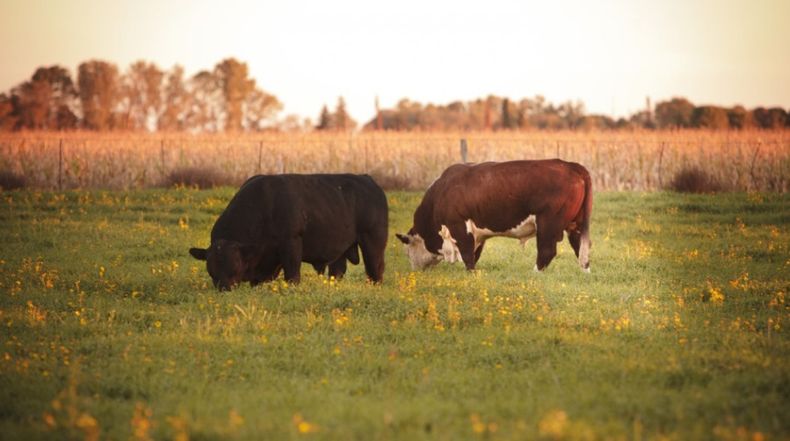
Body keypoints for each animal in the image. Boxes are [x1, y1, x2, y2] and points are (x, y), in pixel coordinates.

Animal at [189, 174, 388, 290]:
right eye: (211, 268)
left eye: (235, 264)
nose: (224, 289)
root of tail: (369, 180)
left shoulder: (291, 243)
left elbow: (292, 274)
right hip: (340, 250)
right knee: (337, 271)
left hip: (373, 243)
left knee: (375, 271)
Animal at [396, 159, 592, 273]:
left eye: (407, 252)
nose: (415, 271)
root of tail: (570, 165)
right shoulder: (477, 233)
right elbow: (475, 253)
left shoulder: (459, 226)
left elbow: (467, 254)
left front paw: (471, 274)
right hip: (575, 224)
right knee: (581, 248)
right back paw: (585, 271)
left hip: (548, 224)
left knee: (547, 251)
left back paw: (535, 273)